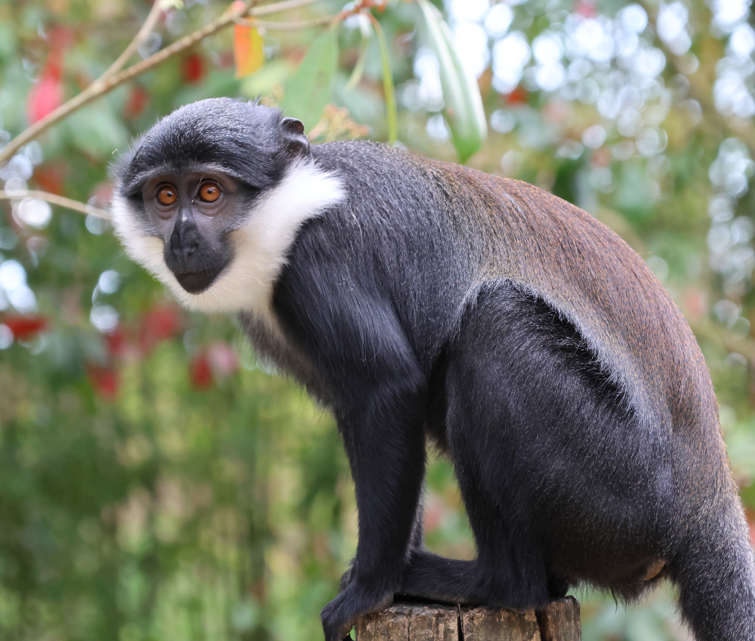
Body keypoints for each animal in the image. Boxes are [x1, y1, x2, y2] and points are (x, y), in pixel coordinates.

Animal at [110, 97, 755, 641]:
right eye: (165, 197)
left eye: (209, 192)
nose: (183, 240)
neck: (296, 203)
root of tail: (708, 507)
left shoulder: (320, 258)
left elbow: (388, 392)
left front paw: (371, 589)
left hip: (622, 493)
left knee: (495, 325)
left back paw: (490, 582)